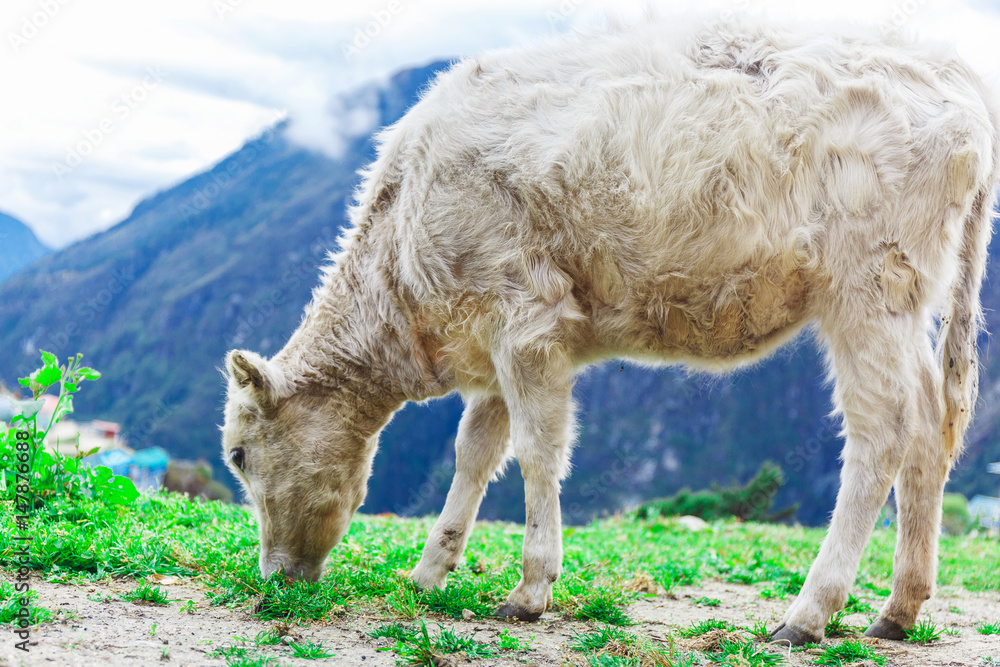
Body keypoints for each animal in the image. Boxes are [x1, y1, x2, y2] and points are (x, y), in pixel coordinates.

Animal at [220, 16, 999, 646]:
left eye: (237, 454)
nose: (275, 579)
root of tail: (955, 75)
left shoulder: (527, 320)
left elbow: (538, 453)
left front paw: (530, 589)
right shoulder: (492, 339)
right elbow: (475, 453)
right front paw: (429, 572)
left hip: (866, 286)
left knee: (883, 431)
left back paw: (809, 612)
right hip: (906, 301)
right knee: (929, 426)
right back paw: (897, 610)